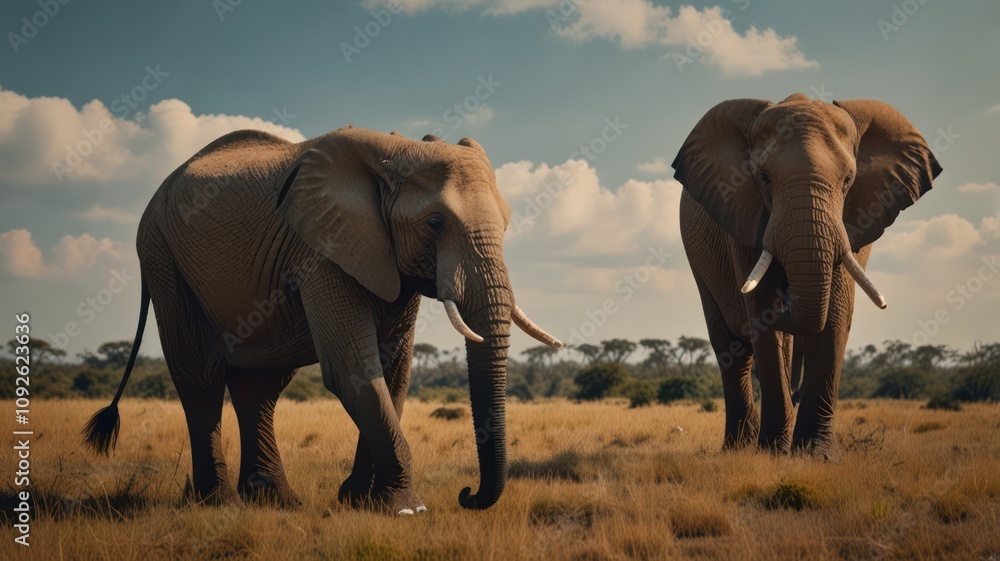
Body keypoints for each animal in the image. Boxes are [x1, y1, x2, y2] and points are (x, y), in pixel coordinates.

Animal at [83, 126, 563, 514]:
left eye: (506, 227)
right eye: (435, 223)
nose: (467, 495)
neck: (394, 153)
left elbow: (393, 373)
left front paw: (360, 500)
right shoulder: (321, 249)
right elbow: (353, 369)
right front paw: (406, 509)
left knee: (260, 386)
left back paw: (276, 502)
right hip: (161, 255)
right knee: (199, 375)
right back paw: (218, 503)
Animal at [672, 94, 941, 457]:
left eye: (848, 180)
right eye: (763, 177)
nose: (788, 298)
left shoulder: (855, 223)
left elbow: (837, 313)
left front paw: (817, 455)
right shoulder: (745, 217)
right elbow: (761, 312)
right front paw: (772, 453)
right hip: (699, 261)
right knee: (733, 349)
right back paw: (738, 448)